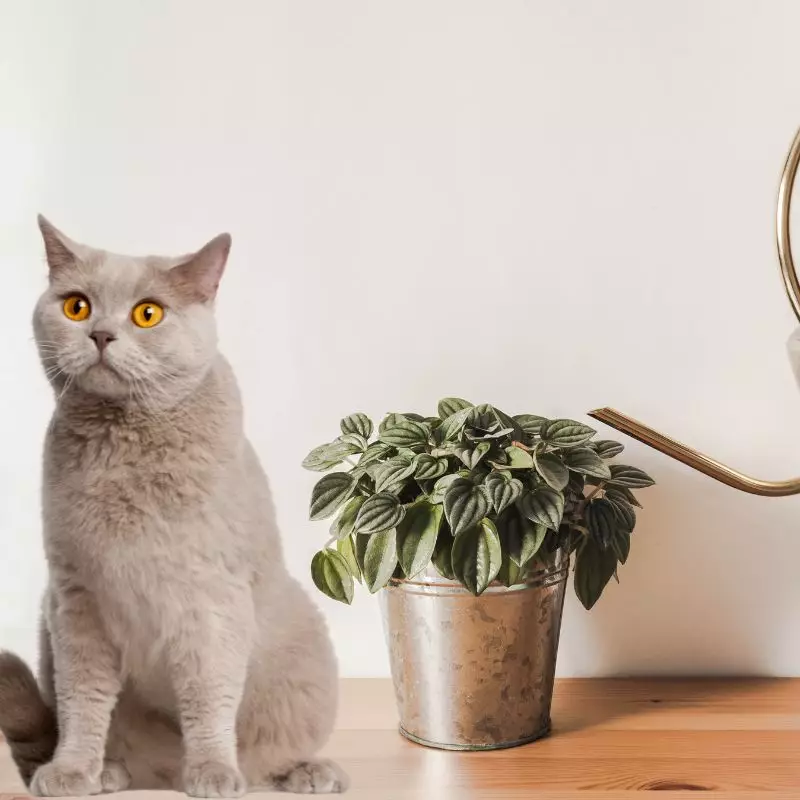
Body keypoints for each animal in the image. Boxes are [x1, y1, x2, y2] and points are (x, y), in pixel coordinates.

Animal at [0, 217, 344, 792]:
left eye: (148, 313)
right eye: (77, 306)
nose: (100, 334)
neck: (123, 445)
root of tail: (160, 773)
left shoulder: (210, 597)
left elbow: (208, 695)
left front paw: (212, 772)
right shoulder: (75, 598)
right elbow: (81, 701)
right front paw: (71, 771)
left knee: (270, 755)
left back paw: (306, 772)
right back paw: (111, 772)